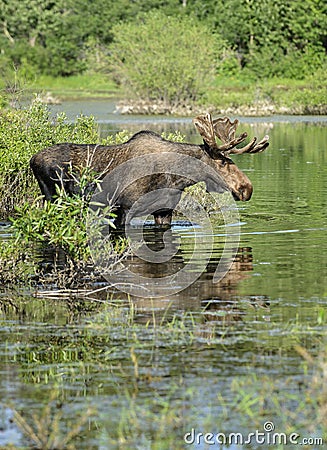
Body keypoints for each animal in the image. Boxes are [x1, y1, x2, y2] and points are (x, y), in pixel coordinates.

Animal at [30, 112, 270, 225]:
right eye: (221, 162)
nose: (246, 188)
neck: (175, 179)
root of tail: (32, 159)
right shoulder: (123, 209)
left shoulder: (164, 211)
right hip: (55, 197)